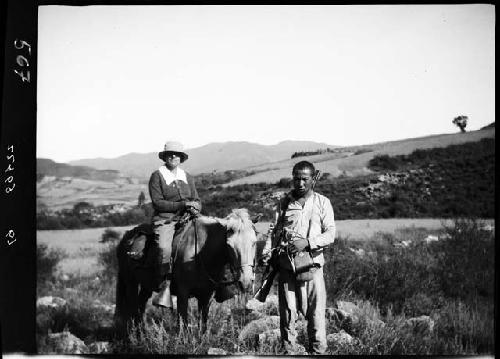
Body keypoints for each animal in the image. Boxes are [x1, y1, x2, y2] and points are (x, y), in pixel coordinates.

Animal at [114, 210, 258, 334]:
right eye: (229, 245)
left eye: (254, 243)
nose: (246, 281)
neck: (200, 252)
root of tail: (125, 238)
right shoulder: (183, 293)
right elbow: (183, 324)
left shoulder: (207, 295)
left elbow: (203, 324)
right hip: (130, 283)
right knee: (133, 307)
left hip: (146, 286)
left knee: (141, 305)